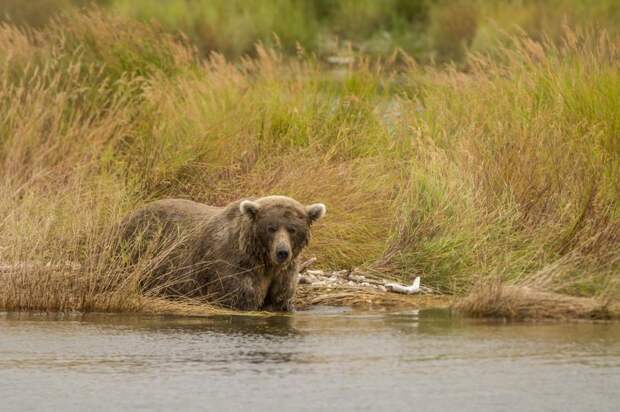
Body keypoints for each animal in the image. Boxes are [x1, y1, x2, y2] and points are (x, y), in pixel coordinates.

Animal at [118, 195, 326, 310]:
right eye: (271, 228)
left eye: (292, 229)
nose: (282, 252)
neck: (264, 260)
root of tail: (128, 215)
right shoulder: (234, 265)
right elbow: (238, 298)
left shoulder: (283, 274)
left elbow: (280, 299)